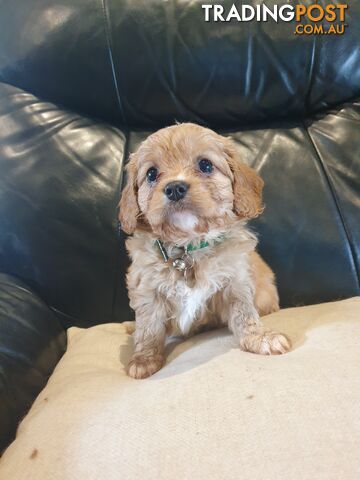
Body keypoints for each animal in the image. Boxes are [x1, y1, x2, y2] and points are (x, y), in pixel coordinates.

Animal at [119, 123, 292, 378]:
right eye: (151, 173)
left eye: (205, 165)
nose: (174, 188)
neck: (188, 247)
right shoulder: (146, 288)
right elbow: (148, 325)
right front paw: (144, 359)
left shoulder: (236, 280)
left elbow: (244, 313)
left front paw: (260, 338)